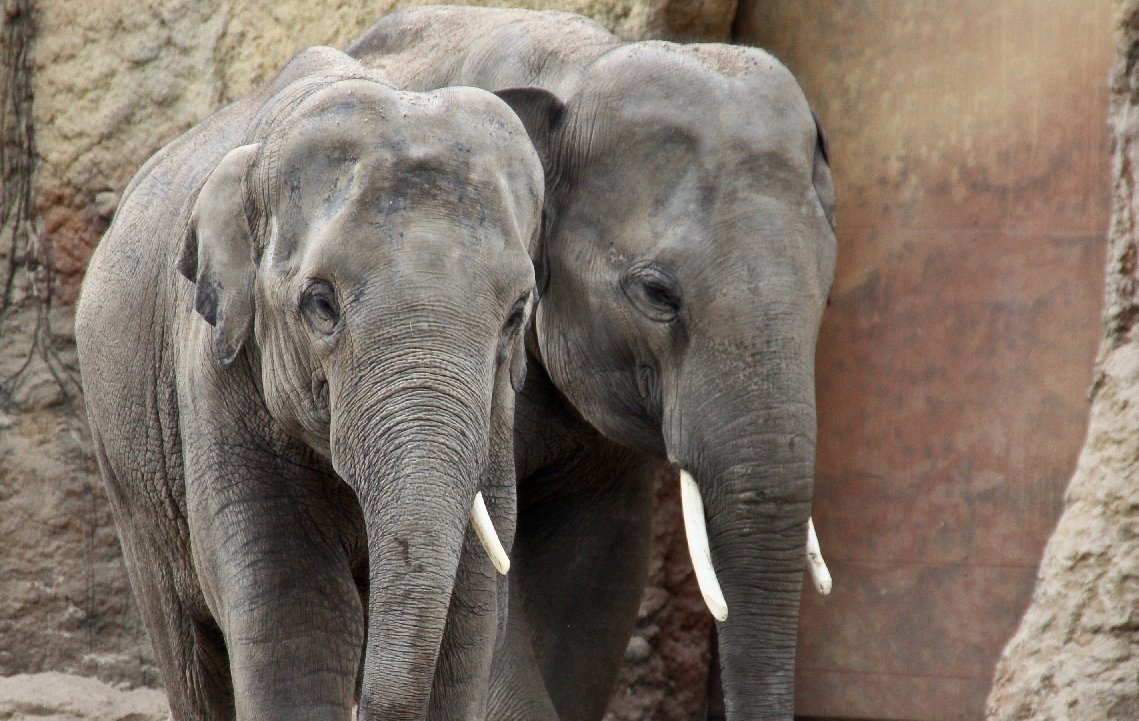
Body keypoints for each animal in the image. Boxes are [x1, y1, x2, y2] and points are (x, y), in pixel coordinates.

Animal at [73, 46, 544, 719]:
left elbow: (469, 620)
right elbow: (297, 615)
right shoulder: (217, 377)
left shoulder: (498, 410)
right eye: (321, 304)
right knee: (188, 649)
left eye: (516, 314)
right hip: (127, 471)